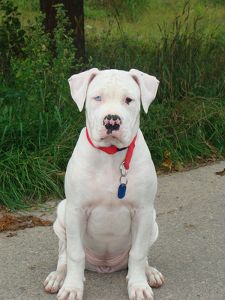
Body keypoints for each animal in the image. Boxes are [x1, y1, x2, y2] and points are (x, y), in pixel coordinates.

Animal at [43, 68, 163, 300]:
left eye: (129, 100)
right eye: (97, 97)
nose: (112, 122)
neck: (111, 155)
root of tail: (105, 266)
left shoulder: (143, 211)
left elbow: (138, 253)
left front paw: (138, 285)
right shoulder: (76, 210)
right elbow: (75, 254)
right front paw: (72, 287)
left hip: (152, 222)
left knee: (141, 255)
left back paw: (149, 272)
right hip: (62, 216)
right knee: (64, 255)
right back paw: (58, 277)